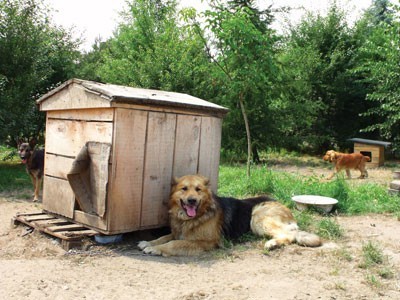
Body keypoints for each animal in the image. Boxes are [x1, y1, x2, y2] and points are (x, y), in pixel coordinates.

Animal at [138, 175, 322, 256]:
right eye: (184, 189)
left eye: (198, 190)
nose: (191, 201)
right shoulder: (178, 232)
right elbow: (164, 237)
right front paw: (149, 242)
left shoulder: (205, 242)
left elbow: (173, 244)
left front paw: (156, 249)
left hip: (257, 215)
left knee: (288, 235)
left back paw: (272, 243)